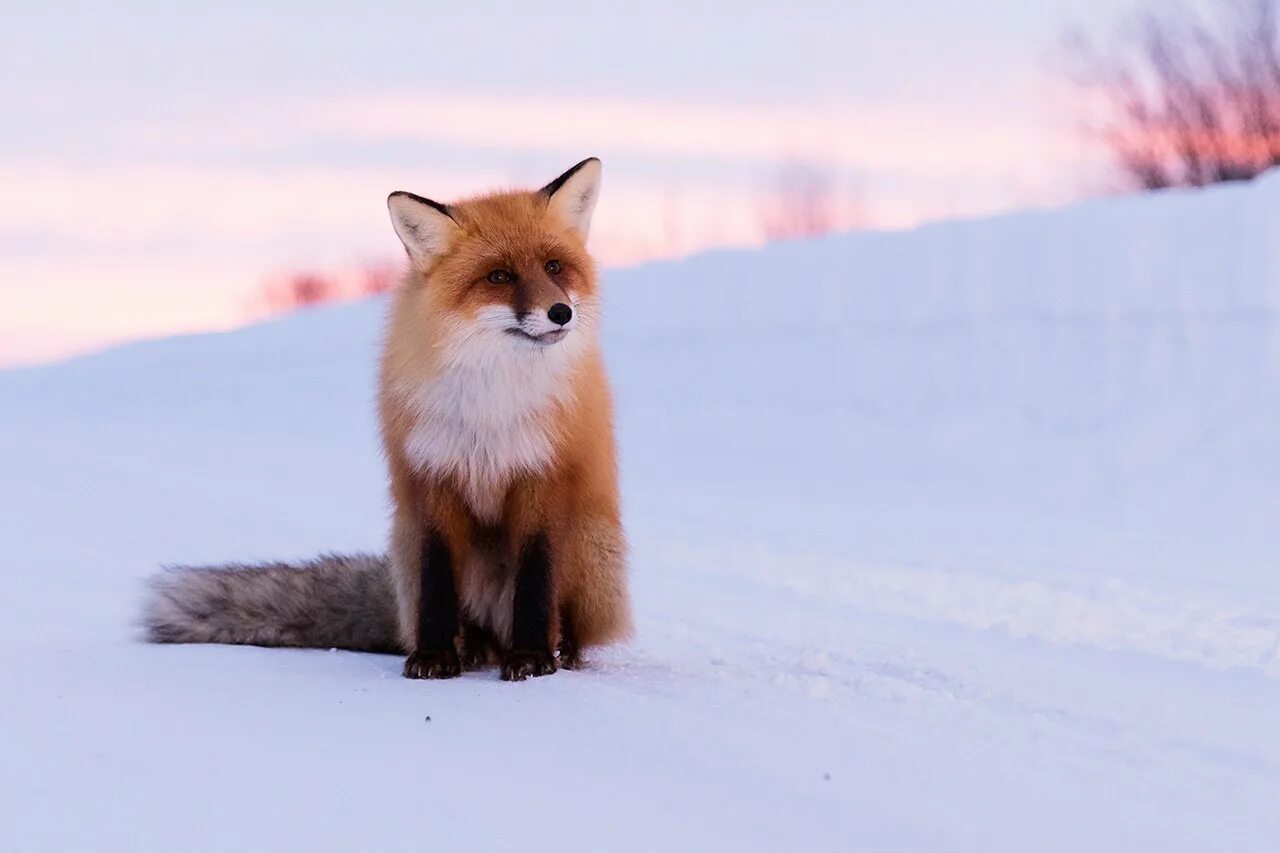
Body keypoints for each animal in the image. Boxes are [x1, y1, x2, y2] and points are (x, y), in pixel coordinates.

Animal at [142, 157, 632, 676]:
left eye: (554, 267)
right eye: (499, 276)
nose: (560, 312)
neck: (490, 404)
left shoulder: (543, 477)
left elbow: (536, 582)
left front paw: (532, 657)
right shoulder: (432, 477)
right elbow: (437, 583)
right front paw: (434, 656)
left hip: (588, 544)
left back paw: (557, 652)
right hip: (406, 545)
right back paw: (472, 647)